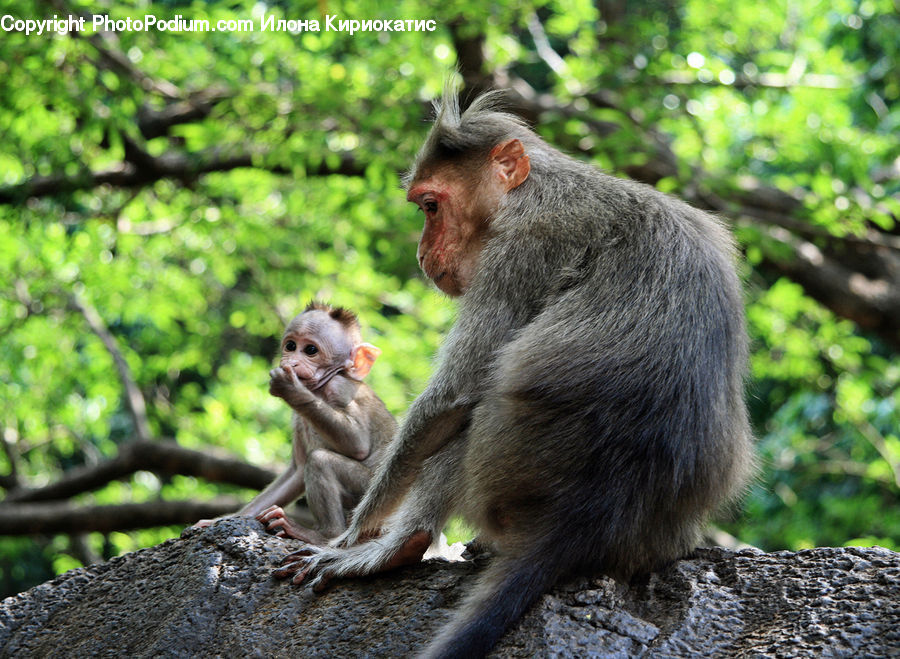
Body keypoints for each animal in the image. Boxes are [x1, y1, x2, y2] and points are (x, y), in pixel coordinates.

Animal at [194, 302, 396, 545]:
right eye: (291, 346)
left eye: (310, 350)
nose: (291, 361)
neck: (320, 389)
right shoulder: (298, 418)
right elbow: (297, 472)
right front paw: (221, 520)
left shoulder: (339, 388)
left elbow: (358, 444)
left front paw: (291, 389)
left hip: (374, 494)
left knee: (320, 461)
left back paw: (323, 535)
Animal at [274, 90, 755, 658]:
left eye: (430, 206)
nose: (421, 252)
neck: (533, 190)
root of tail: (577, 526)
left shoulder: (520, 250)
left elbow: (450, 400)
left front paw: (353, 537)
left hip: (505, 471)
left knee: (468, 416)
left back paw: (400, 545)